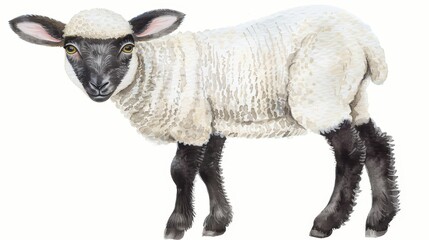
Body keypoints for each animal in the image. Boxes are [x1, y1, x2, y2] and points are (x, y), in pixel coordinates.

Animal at [9, 5, 398, 238]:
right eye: (70, 47)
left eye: (128, 46)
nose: (99, 86)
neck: (156, 68)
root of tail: (367, 41)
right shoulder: (210, 121)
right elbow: (210, 168)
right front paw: (216, 222)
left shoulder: (191, 120)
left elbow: (181, 171)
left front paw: (176, 226)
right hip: (352, 96)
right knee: (377, 146)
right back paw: (379, 220)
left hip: (318, 93)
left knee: (350, 154)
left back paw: (326, 221)